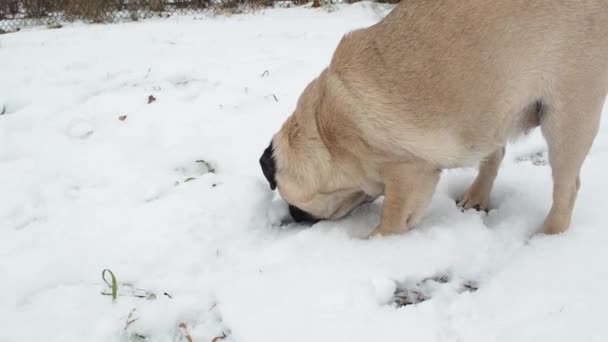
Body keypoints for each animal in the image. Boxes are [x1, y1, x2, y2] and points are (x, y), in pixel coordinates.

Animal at [258, 0, 608, 236]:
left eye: (293, 202)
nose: (294, 216)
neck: (324, 134)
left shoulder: (408, 175)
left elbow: (391, 220)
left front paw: (375, 241)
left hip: (567, 119)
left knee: (566, 188)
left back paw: (549, 233)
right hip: (493, 110)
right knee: (494, 154)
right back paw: (476, 197)